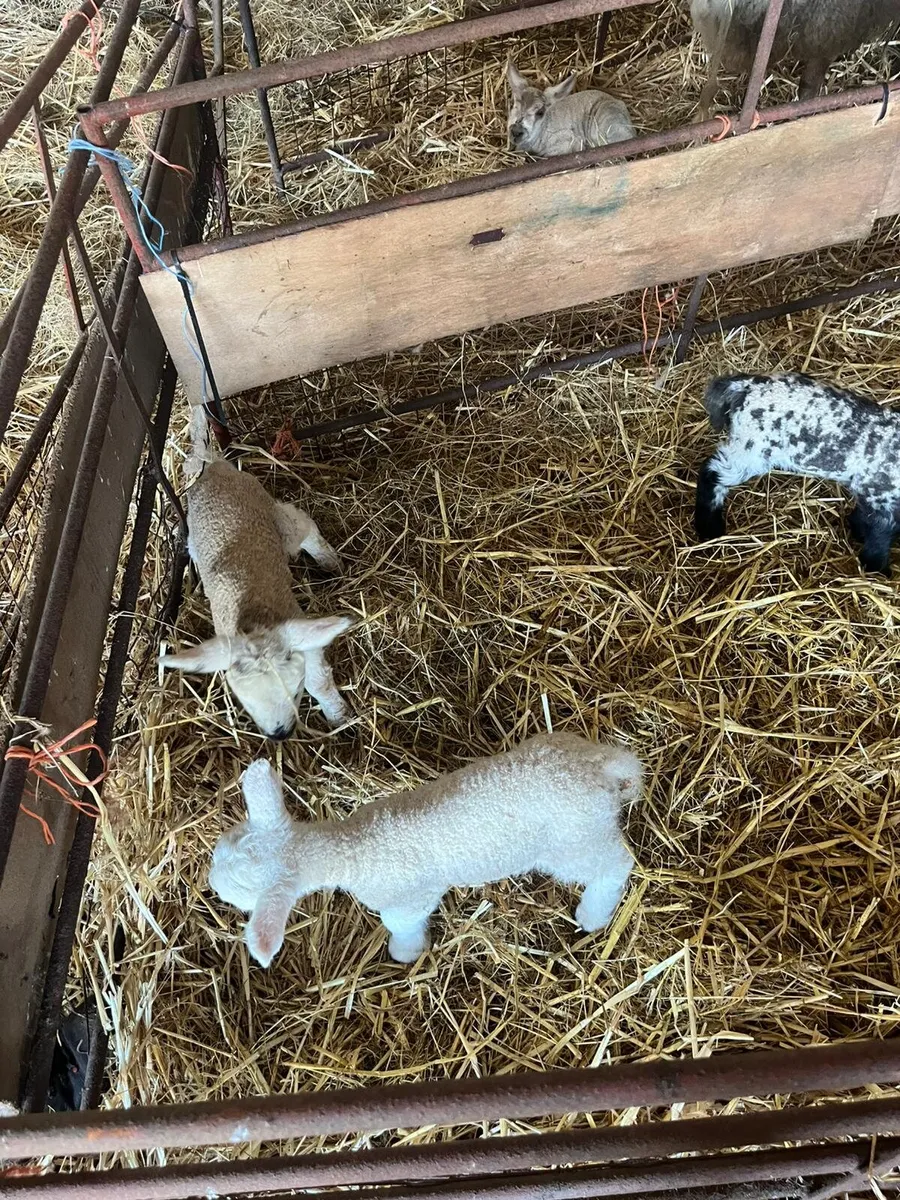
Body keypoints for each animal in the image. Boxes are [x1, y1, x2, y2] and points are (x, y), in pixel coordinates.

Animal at [159, 406, 353, 738]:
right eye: (245, 702)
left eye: (295, 692)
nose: (279, 734)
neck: (252, 626)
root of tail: (214, 467)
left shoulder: (299, 637)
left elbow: (318, 680)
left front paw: (338, 715)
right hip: (194, 540)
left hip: (275, 516)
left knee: (301, 524)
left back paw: (328, 559)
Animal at [210, 733, 641, 967]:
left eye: (239, 895)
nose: (210, 883)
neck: (351, 847)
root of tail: (599, 769)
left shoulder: (408, 900)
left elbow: (401, 924)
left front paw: (405, 953)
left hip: (573, 841)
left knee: (616, 864)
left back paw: (593, 914)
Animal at [694, 372, 900, 575]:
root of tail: (745, 386)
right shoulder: (879, 496)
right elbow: (879, 535)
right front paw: (877, 569)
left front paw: (856, 531)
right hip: (752, 450)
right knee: (712, 473)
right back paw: (709, 528)